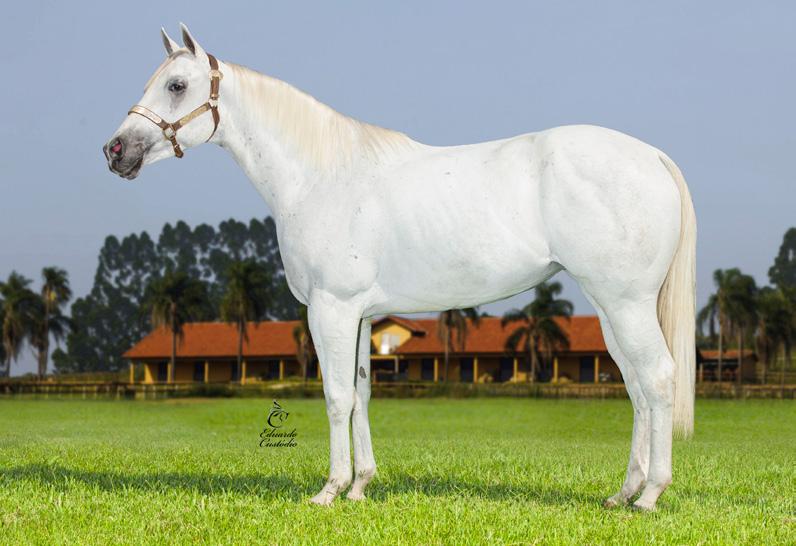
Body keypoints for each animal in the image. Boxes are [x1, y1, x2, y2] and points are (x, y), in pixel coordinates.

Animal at [107, 25, 696, 510]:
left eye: (177, 85)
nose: (115, 150)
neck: (322, 176)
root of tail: (653, 156)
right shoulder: (363, 315)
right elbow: (363, 394)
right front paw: (361, 486)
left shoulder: (331, 309)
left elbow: (336, 397)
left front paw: (330, 490)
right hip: (611, 307)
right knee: (637, 389)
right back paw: (624, 493)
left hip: (626, 303)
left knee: (658, 379)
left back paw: (651, 496)